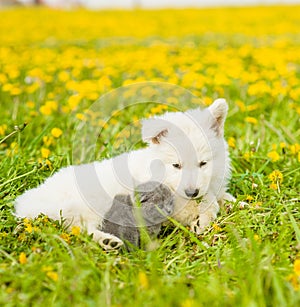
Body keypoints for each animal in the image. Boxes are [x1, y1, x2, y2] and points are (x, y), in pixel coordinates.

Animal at [14, 98, 237, 250]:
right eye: (176, 165)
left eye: (203, 163)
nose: (192, 192)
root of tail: (31, 200)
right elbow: (207, 204)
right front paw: (201, 221)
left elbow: (220, 197)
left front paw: (235, 203)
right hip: (93, 203)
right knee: (79, 228)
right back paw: (107, 241)